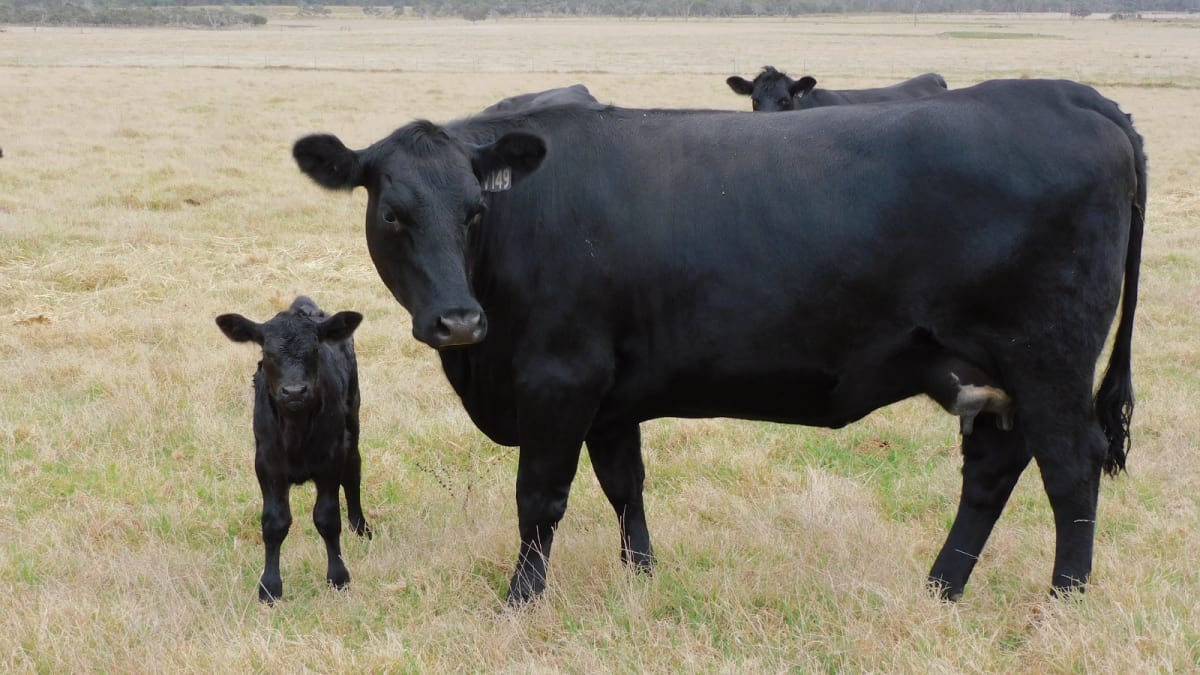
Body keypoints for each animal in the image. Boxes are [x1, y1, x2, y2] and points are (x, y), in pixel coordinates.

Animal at [216, 296, 370, 603]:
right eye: (267, 352)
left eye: (314, 350)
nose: (295, 391)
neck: (296, 432)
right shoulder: (266, 464)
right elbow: (274, 523)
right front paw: (269, 588)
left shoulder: (330, 458)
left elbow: (327, 517)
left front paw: (338, 577)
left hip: (353, 420)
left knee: (353, 472)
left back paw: (359, 528)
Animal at [292, 78, 1145, 606]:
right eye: (393, 213)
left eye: (473, 210)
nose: (459, 319)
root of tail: (1069, 94)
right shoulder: (610, 394)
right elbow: (624, 484)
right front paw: (642, 579)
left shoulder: (559, 378)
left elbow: (540, 496)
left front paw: (519, 601)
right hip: (991, 375)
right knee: (994, 470)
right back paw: (941, 588)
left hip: (1048, 362)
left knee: (1071, 470)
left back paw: (1063, 600)